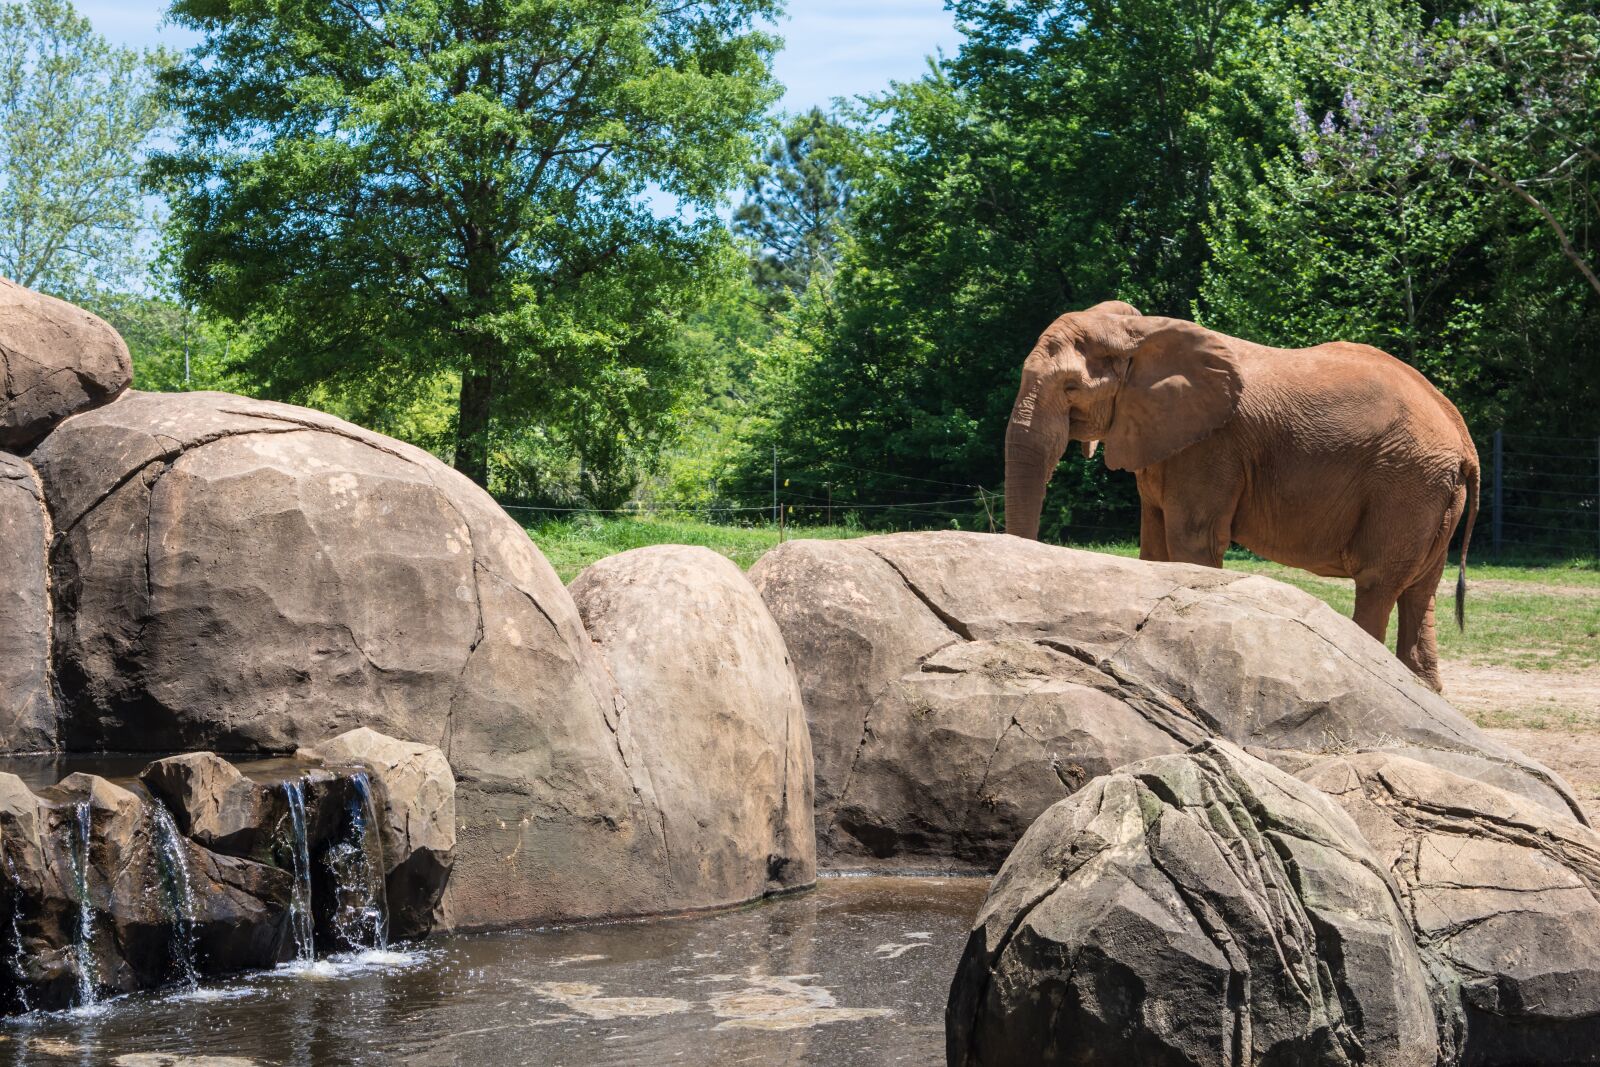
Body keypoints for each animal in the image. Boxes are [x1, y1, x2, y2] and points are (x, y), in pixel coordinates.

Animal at [1004, 301, 1479, 692]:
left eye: (1070, 388)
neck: (1139, 332)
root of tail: (1464, 441)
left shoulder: (1211, 446)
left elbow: (1192, 544)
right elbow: (1155, 550)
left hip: (1405, 484)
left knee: (1377, 583)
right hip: (1431, 491)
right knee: (1420, 591)